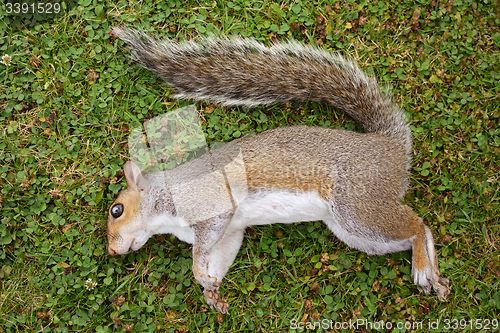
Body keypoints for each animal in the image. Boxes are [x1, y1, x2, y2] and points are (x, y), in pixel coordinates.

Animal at [105, 27, 450, 312]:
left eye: (116, 209)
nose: (111, 252)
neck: (165, 205)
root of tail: (390, 144)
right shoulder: (230, 231)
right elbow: (220, 257)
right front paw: (211, 291)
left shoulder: (210, 204)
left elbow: (201, 250)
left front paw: (197, 273)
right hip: (352, 230)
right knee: (414, 234)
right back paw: (433, 275)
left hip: (358, 205)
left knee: (418, 224)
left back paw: (423, 267)